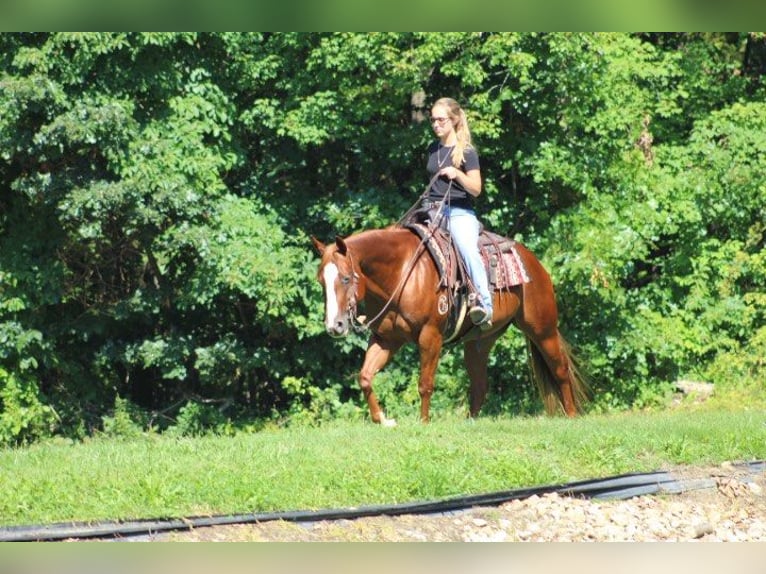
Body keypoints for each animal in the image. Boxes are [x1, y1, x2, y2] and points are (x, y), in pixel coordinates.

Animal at [312, 226, 588, 428]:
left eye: (345, 278)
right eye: (321, 281)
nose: (334, 326)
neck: (402, 272)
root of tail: (534, 263)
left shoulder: (430, 336)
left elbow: (425, 383)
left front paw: (423, 422)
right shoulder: (386, 339)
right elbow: (365, 377)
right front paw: (383, 419)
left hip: (542, 329)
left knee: (560, 369)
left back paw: (572, 415)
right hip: (479, 342)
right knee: (480, 386)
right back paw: (469, 423)